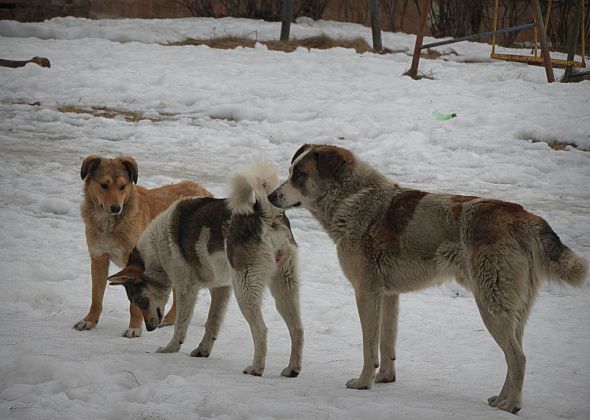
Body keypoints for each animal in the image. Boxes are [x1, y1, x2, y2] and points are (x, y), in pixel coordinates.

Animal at [75, 155, 212, 338]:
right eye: (104, 185)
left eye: (123, 186)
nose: (116, 208)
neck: (110, 224)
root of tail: (203, 190)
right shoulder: (98, 259)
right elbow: (96, 297)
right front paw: (89, 320)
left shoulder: (134, 265)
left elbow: (134, 304)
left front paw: (134, 328)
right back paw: (171, 319)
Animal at [108, 162, 306, 378]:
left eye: (140, 300)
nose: (151, 329)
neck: (155, 252)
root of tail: (265, 213)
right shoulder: (222, 289)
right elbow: (212, 322)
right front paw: (203, 350)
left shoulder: (187, 290)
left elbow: (180, 325)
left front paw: (170, 348)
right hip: (284, 290)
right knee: (297, 329)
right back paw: (292, 369)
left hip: (245, 291)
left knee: (262, 330)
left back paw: (256, 367)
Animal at [270, 144, 588, 414]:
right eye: (290, 172)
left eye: (299, 175)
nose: (272, 196)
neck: (353, 198)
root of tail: (523, 216)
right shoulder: (389, 295)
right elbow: (387, 343)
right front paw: (385, 378)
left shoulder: (366, 293)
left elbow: (369, 346)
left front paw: (363, 383)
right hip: (512, 311)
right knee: (513, 358)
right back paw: (500, 400)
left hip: (490, 307)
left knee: (518, 358)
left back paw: (512, 406)